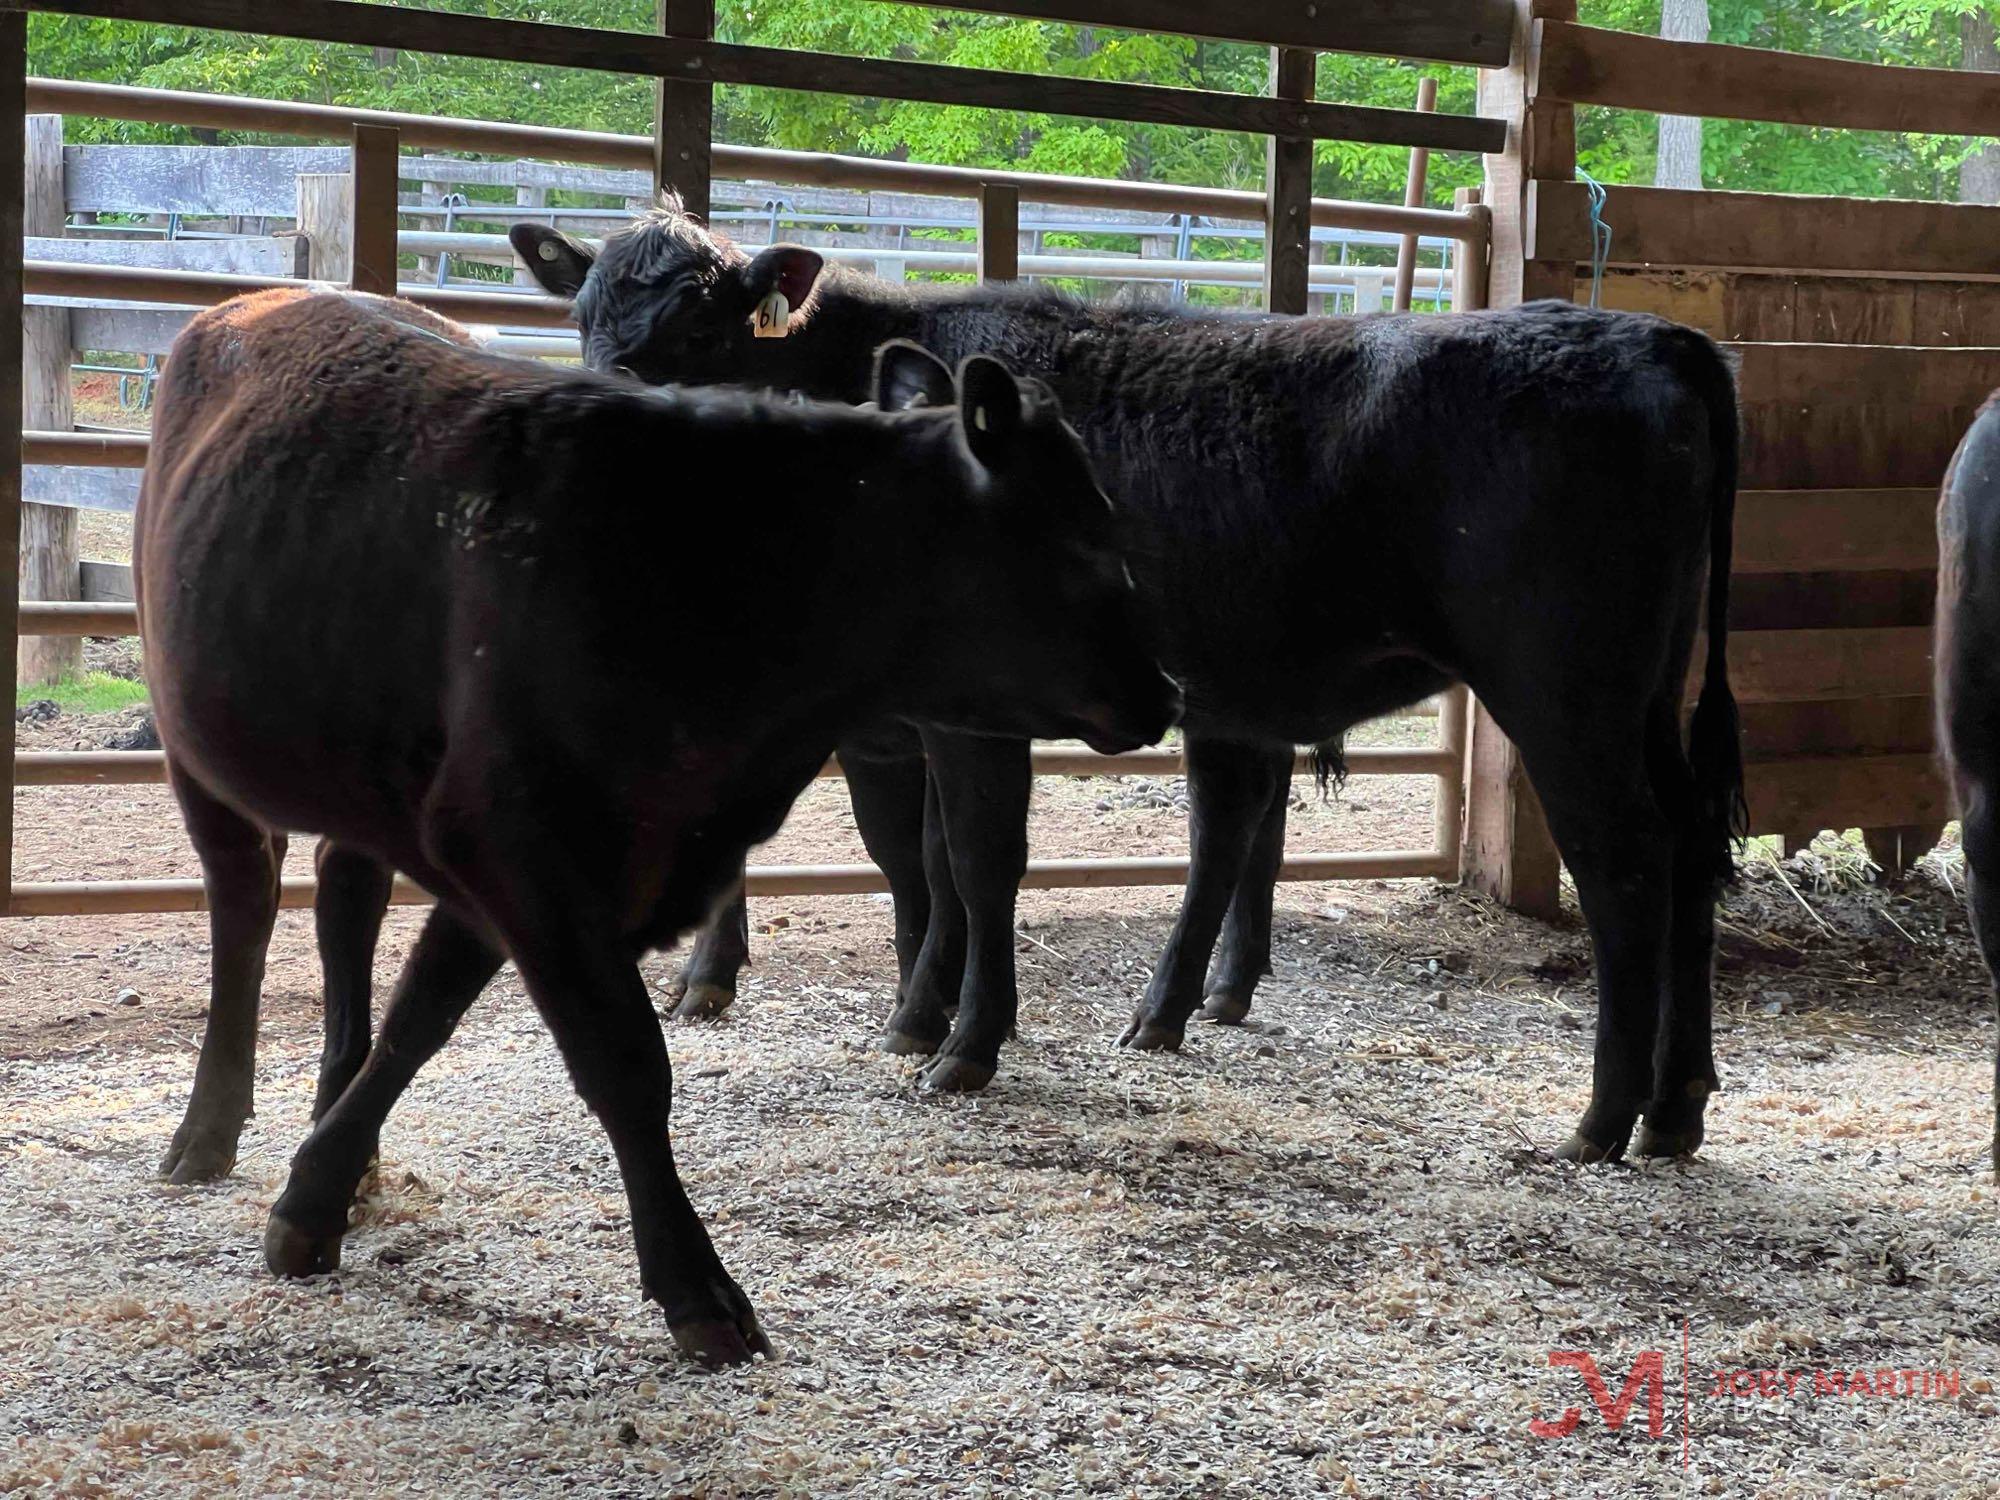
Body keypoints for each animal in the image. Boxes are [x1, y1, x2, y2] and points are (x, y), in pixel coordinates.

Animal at [141, 288, 1176, 1368]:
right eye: (1082, 540)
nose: (1163, 693)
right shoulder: (519, 851)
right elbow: (625, 1064)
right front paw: (698, 1289)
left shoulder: (520, 864)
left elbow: (418, 1018)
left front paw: (318, 1190)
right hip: (195, 750)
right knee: (244, 904)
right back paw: (205, 1128)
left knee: (345, 894)